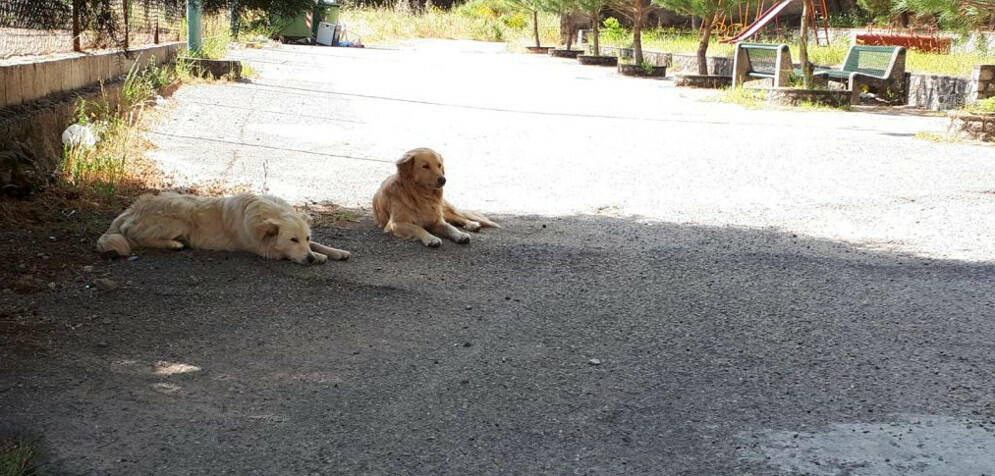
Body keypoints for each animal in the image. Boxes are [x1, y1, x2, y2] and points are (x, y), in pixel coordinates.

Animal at [97, 192, 352, 264]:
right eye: (292, 240)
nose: (309, 258)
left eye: (305, 238)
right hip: (180, 211)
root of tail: (130, 209)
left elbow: (321, 244)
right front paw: (319, 256)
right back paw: (173, 244)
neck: (270, 212)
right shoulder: (265, 250)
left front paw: (335, 251)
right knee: (139, 238)